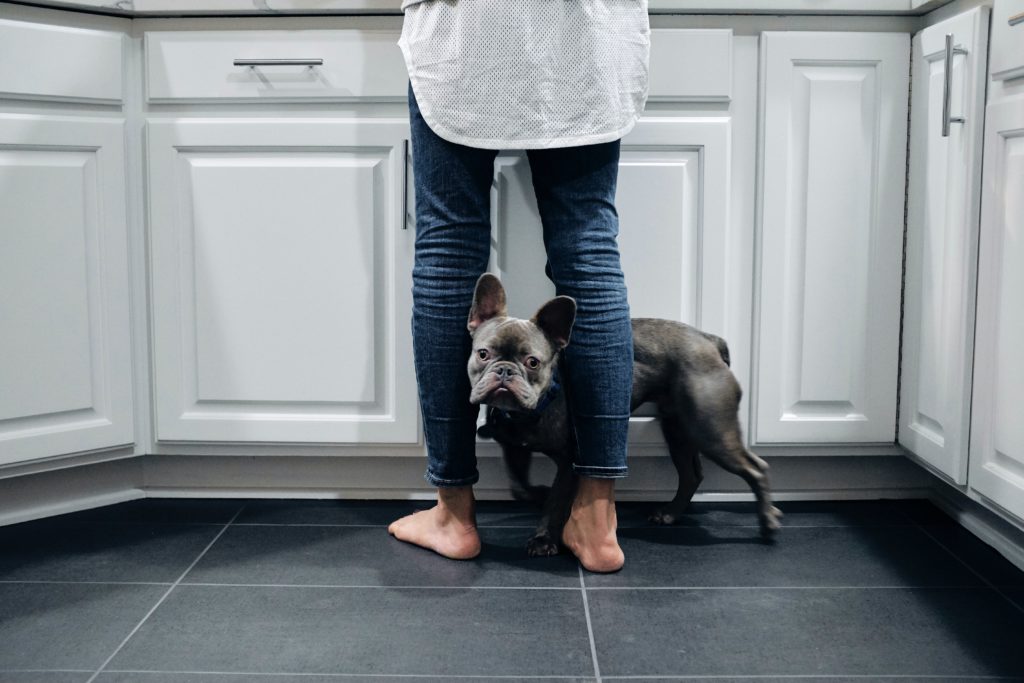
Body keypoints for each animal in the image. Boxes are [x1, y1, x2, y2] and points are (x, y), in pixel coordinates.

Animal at [466, 272, 782, 557]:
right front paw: (540, 494)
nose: (505, 371)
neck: (531, 411)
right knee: (692, 474)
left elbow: (555, 502)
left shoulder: (570, 461)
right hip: (679, 430)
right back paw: (671, 513)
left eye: (532, 362)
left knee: (756, 467)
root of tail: (709, 340)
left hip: (711, 429)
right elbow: (520, 486)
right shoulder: (514, 448)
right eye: (482, 354)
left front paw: (544, 538)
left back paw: (767, 523)